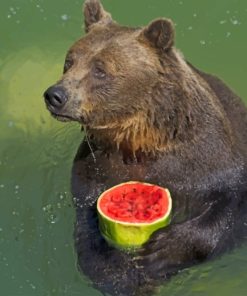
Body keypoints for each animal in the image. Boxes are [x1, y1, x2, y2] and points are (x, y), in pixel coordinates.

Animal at [43, 0, 247, 296]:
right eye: (69, 61)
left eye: (100, 69)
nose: (55, 95)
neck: (139, 139)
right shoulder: (95, 165)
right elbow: (87, 221)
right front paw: (117, 273)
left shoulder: (209, 161)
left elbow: (231, 207)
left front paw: (162, 251)